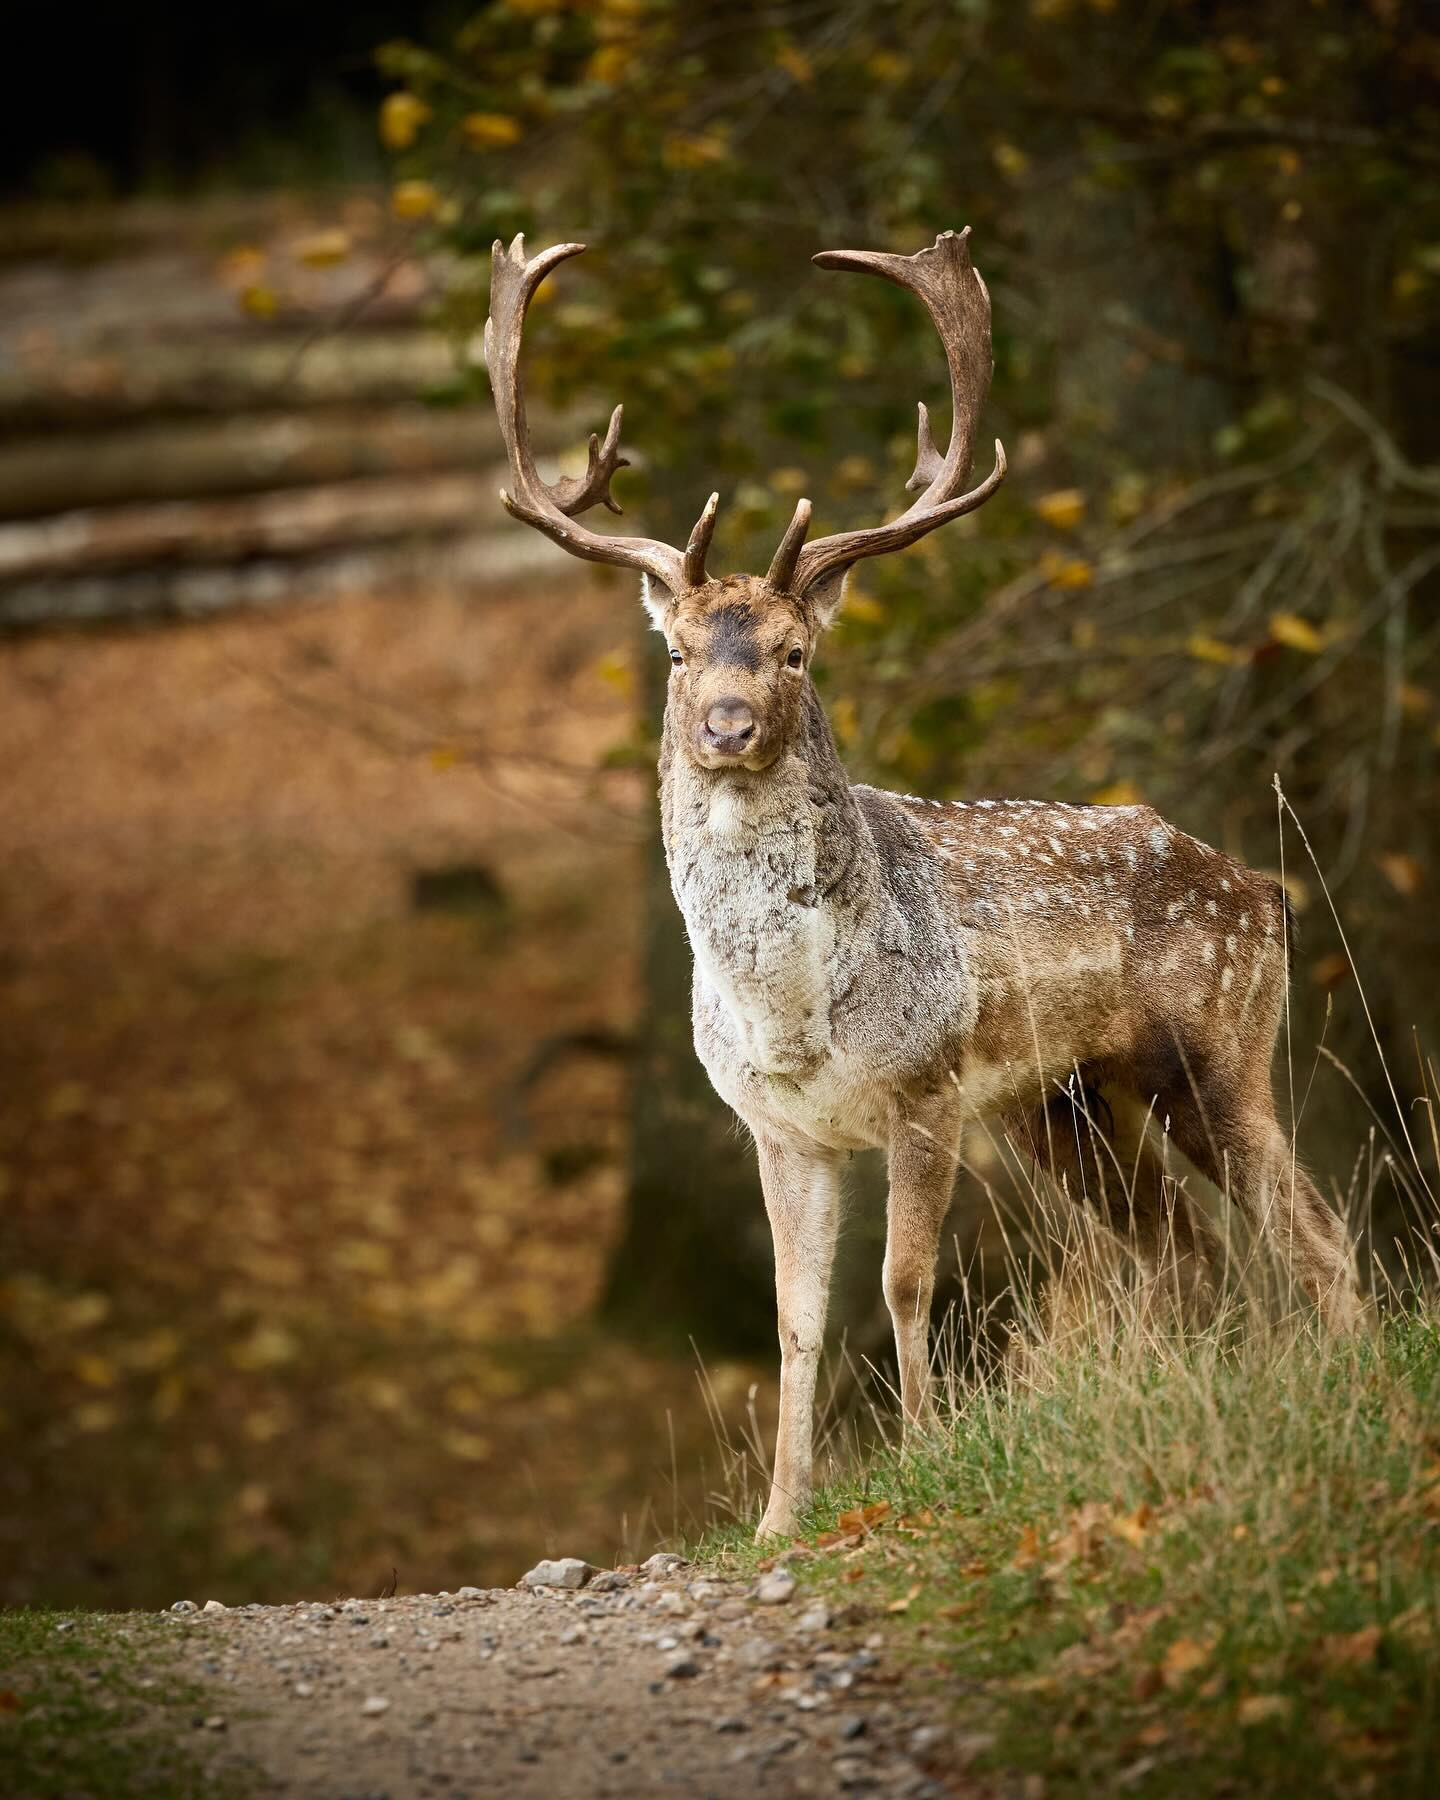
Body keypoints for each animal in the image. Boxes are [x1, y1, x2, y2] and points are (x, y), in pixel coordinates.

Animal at [484, 227, 1363, 1542]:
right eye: (679, 653)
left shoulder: (927, 1087)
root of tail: (1264, 890)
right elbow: (794, 1316)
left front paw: (927, 1460)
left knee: (1315, 1227)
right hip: (1064, 1103)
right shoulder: (781, 1126)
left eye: (796, 651)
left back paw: (1354, 1382)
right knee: (1182, 1248)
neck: (792, 1015)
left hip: (1216, 1042)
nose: (729, 725)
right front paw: (780, 1515)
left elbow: (906, 1282)